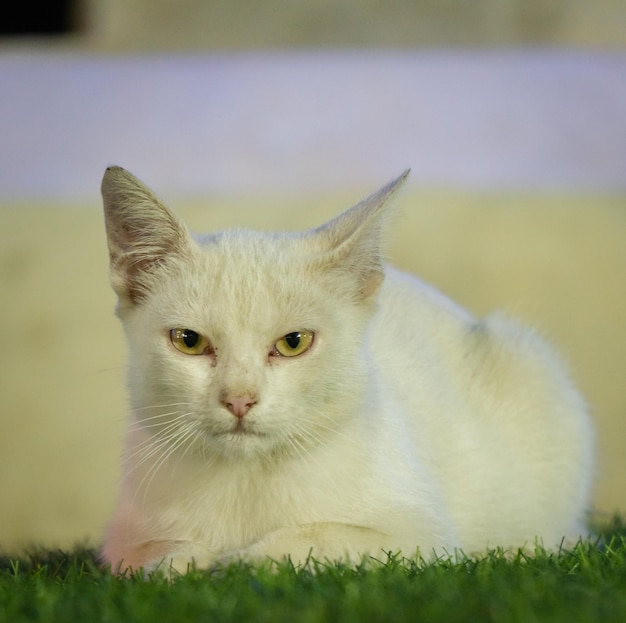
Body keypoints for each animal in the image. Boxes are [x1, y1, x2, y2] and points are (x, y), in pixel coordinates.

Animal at [100, 167, 592, 576]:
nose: (239, 399)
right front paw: (182, 560)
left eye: (294, 342)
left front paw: (241, 560)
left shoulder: (422, 536)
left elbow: (320, 537)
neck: (246, 479)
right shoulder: (121, 542)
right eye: (189, 341)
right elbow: (152, 554)